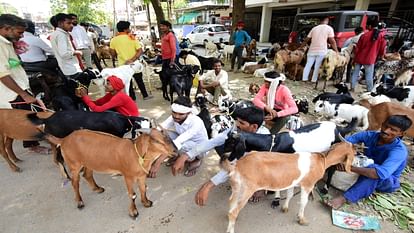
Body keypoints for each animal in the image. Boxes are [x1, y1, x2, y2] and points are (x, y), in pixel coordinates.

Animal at [42, 129, 176, 218]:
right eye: (157, 140)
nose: (175, 151)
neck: (135, 152)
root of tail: (64, 139)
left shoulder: (141, 176)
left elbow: (144, 189)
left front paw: (146, 203)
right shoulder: (128, 176)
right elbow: (132, 195)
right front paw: (133, 212)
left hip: (89, 162)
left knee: (87, 175)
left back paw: (98, 189)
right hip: (74, 164)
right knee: (75, 183)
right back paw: (80, 202)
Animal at [223, 141, 356, 233]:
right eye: (354, 152)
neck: (322, 160)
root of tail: (237, 165)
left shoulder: (294, 183)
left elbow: (290, 195)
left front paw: (285, 208)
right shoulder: (307, 185)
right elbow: (303, 202)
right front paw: (301, 219)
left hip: (237, 188)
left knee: (231, 203)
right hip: (247, 189)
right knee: (234, 211)